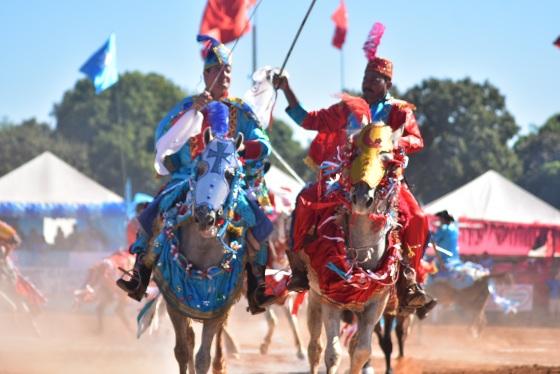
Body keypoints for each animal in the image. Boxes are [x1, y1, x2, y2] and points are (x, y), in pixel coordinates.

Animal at [150, 129, 253, 374]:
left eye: (230, 174)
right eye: (200, 169)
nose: (206, 216)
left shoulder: (216, 308)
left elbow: (203, 357)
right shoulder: (174, 302)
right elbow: (182, 350)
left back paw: (221, 362)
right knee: (188, 339)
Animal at [296, 123, 404, 374]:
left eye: (386, 158)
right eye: (354, 155)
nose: (362, 198)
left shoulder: (376, 304)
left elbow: (362, 351)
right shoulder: (330, 300)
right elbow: (332, 352)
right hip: (314, 298)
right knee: (314, 346)